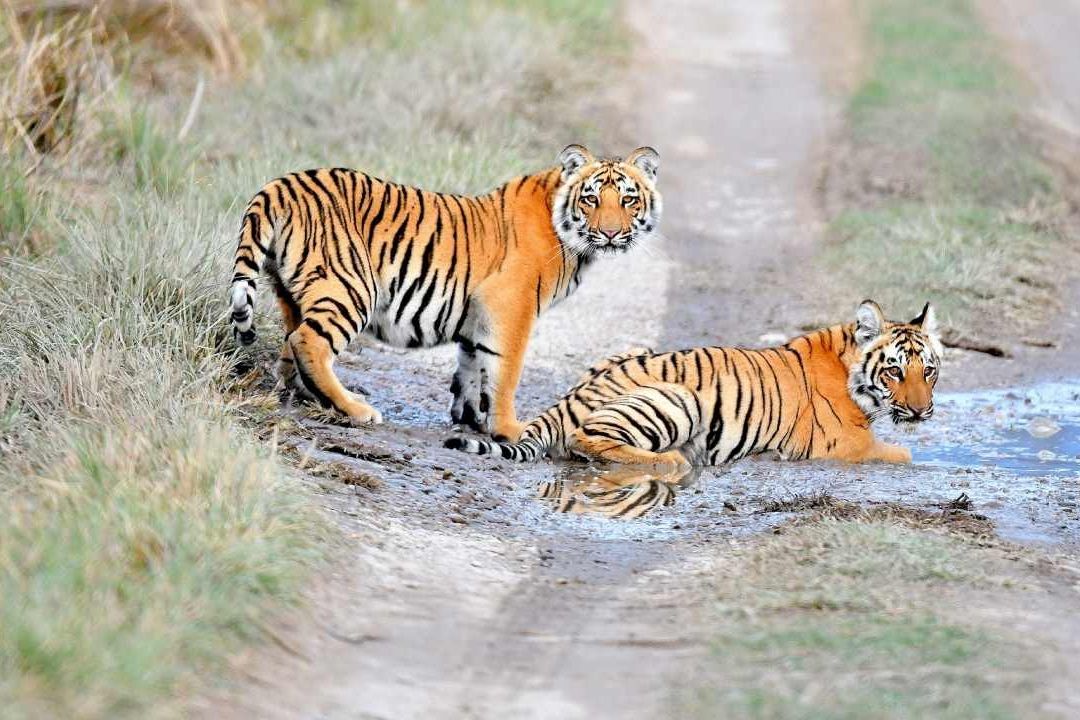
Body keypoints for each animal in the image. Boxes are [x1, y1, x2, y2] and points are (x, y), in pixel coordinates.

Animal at [228, 144, 662, 440]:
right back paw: (355, 408)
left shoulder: (478, 314)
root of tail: (281, 184)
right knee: (309, 343)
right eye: (591, 199)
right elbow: (506, 372)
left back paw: (302, 394)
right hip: (351, 288)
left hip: (292, 292)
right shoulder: (510, 307)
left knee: (291, 343)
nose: (610, 233)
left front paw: (471, 418)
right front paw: (509, 429)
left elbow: (472, 366)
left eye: (628, 199)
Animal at [445, 300, 943, 466]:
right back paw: (671, 461)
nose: (922, 411)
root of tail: (565, 401)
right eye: (894, 370)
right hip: (678, 398)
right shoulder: (845, 445)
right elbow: (903, 454)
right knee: (588, 440)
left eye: (929, 370)